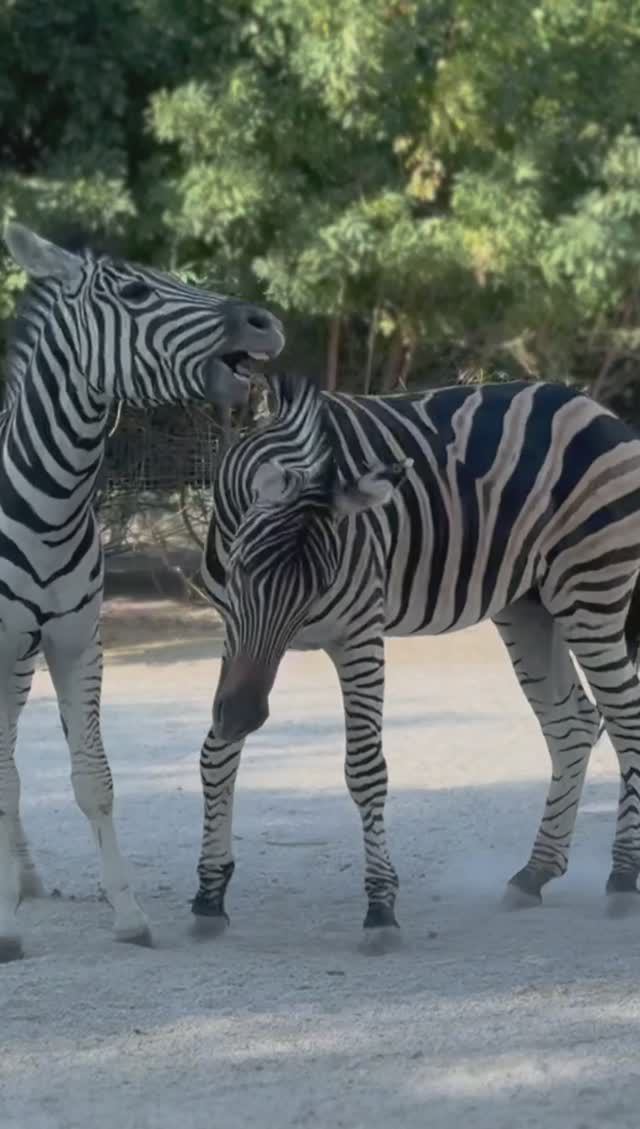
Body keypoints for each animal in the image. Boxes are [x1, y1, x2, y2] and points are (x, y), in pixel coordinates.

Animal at [0, 222, 285, 961]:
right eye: (133, 292)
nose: (267, 323)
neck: (50, 501)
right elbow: (8, 779)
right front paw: (7, 928)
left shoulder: (77, 642)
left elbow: (94, 779)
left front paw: (127, 913)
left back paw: (28, 879)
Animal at [191, 374, 640, 948]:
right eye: (243, 568)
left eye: (320, 586)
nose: (246, 716)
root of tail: (593, 407)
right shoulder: (234, 628)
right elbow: (215, 755)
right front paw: (209, 895)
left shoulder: (357, 632)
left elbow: (365, 770)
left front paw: (381, 908)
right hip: (529, 604)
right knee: (573, 723)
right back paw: (536, 871)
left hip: (591, 589)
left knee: (626, 721)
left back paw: (622, 875)